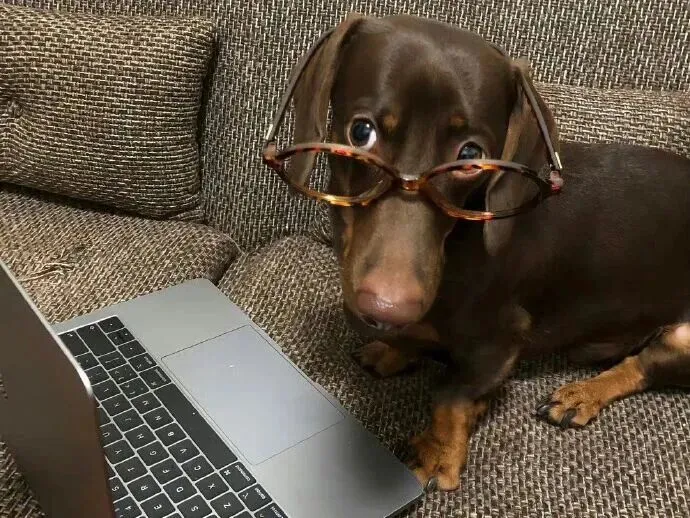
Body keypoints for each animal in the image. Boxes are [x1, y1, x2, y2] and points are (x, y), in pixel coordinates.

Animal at [285, 14, 690, 491]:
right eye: (361, 132)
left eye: (471, 155)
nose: (385, 308)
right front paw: (394, 349)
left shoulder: (501, 339)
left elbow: (451, 397)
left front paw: (439, 453)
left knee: (641, 367)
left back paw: (581, 395)